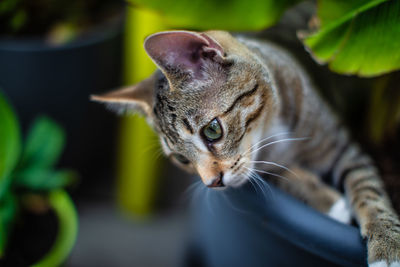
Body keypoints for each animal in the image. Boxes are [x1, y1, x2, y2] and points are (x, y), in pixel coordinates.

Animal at [90, 30, 400, 266]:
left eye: (212, 130)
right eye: (181, 158)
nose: (212, 183)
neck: (273, 126)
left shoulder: (342, 148)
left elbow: (368, 188)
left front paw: (387, 243)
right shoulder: (258, 165)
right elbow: (276, 172)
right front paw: (329, 202)